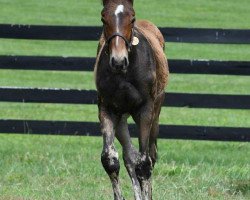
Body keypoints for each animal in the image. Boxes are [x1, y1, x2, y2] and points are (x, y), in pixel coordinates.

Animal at [94, 0, 169, 199]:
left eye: (132, 18)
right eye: (103, 18)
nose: (118, 61)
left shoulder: (145, 111)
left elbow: (144, 164)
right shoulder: (106, 109)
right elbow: (110, 160)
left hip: (156, 114)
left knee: (151, 155)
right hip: (121, 118)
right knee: (129, 156)